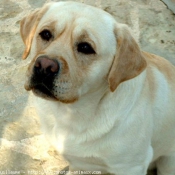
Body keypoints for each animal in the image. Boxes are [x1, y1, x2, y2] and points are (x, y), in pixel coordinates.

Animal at [20, 1, 175, 175]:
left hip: (168, 163)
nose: (44, 66)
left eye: (86, 47)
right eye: (46, 34)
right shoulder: (79, 164)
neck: (71, 114)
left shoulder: (132, 166)